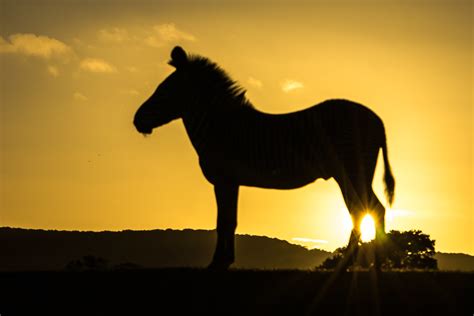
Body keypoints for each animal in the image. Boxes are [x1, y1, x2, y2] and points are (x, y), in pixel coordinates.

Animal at [134, 45, 396, 270]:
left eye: (165, 90)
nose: (137, 120)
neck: (220, 127)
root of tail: (377, 119)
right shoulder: (232, 181)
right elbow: (230, 220)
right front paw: (225, 261)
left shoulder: (224, 179)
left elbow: (223, 221)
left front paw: (217, 264)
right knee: (367, 210)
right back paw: (373, 262)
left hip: (350, 170)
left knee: (366, 209)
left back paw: (361, 262)